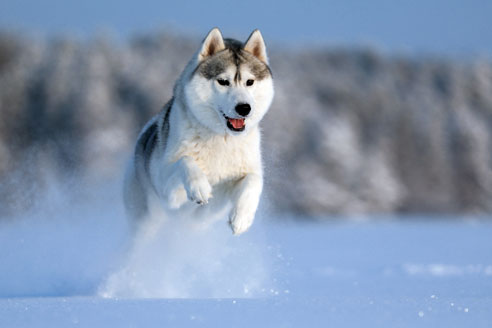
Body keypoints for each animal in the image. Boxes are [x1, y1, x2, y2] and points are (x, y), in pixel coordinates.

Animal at [123, 27, 274, 233]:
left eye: (249, 82)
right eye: (223, 81)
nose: (244, 108)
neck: (221, 139)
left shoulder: (218, 203)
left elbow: (254, 179)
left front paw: (242, 217)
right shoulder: (169, 195)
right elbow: (185, 161)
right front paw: (199, 186)